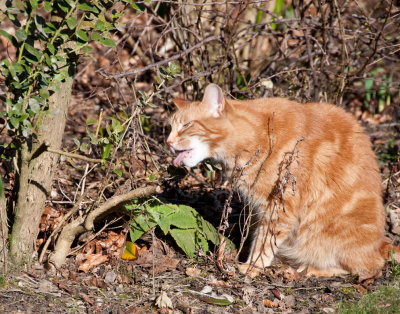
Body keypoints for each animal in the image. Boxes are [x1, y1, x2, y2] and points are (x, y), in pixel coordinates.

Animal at [166, 84, 400, 280]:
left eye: (186, 125)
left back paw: (314, 269)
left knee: (369, 268)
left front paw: (252, 267)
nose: (168, 142)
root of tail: (382, 243)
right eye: (171, 127)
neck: (255, 136)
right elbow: (258, 235)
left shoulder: (280, 206)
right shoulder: (260, 208)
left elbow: (264, 242)